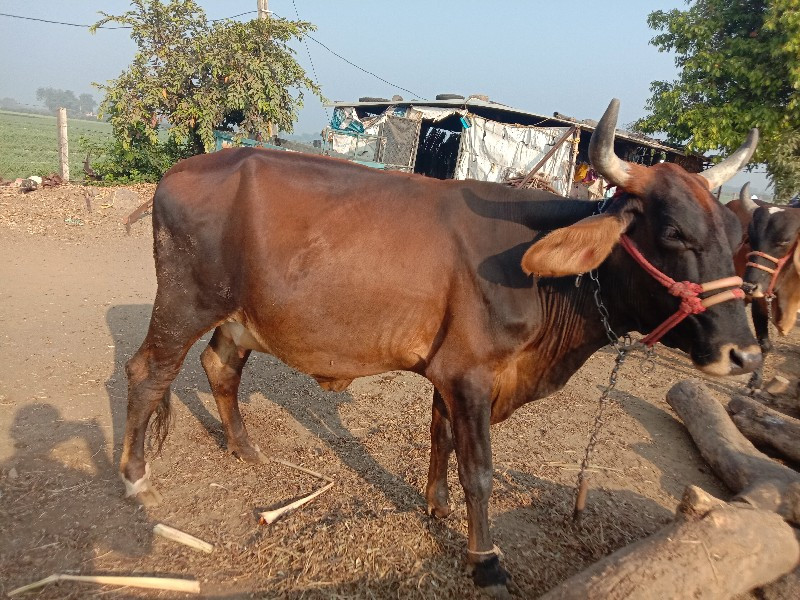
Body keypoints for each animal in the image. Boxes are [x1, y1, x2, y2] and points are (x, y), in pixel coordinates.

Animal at [122, 101, 760, 596]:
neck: (543, 281)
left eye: (735, 236)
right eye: (674, 233)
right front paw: (485, 560)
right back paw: (135, 477)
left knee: (219, 366)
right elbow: (479, 468)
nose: (746, 356)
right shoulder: (471, 375)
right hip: (183, 304)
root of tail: (181, 170)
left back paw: (245, 448)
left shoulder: (452, 375)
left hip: (239, 316)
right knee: (147, 373)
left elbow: (441, 437)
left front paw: (436, 505)